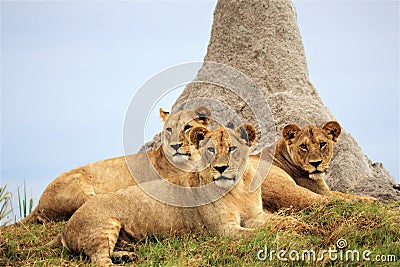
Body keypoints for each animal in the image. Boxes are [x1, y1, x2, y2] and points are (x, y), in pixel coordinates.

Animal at [51, 124, 298, 266]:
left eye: (232, 149)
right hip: (103, 226)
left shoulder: (256, 216)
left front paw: (299, 226)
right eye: (211, 150)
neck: (238, 188)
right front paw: (290, 234)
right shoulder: (225, 231)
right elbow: (269, 231)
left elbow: (281, 221)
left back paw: (126, 255)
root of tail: (65, 227)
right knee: (99, 260)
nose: (220, 168)